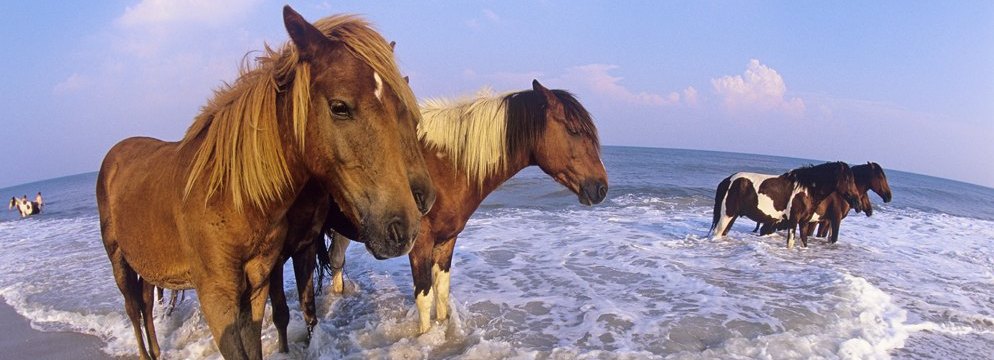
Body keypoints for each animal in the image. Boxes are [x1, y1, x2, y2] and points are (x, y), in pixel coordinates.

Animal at [96, 7, 430, 358]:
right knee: (133, 308)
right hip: (119, 260)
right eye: (339, 107)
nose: (404, 226)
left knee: (146, 304)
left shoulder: (256, 285)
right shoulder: (218, 298)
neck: (230, 198)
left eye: (402, 110)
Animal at [704, 162, 860, 249]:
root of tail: (727, 180)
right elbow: (790, 243)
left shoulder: (804, 222)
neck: (807, 188)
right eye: (847, 179)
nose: (857, 202)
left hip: (732, 216)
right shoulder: (793, 221)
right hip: (726, 216)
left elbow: (804, 242)